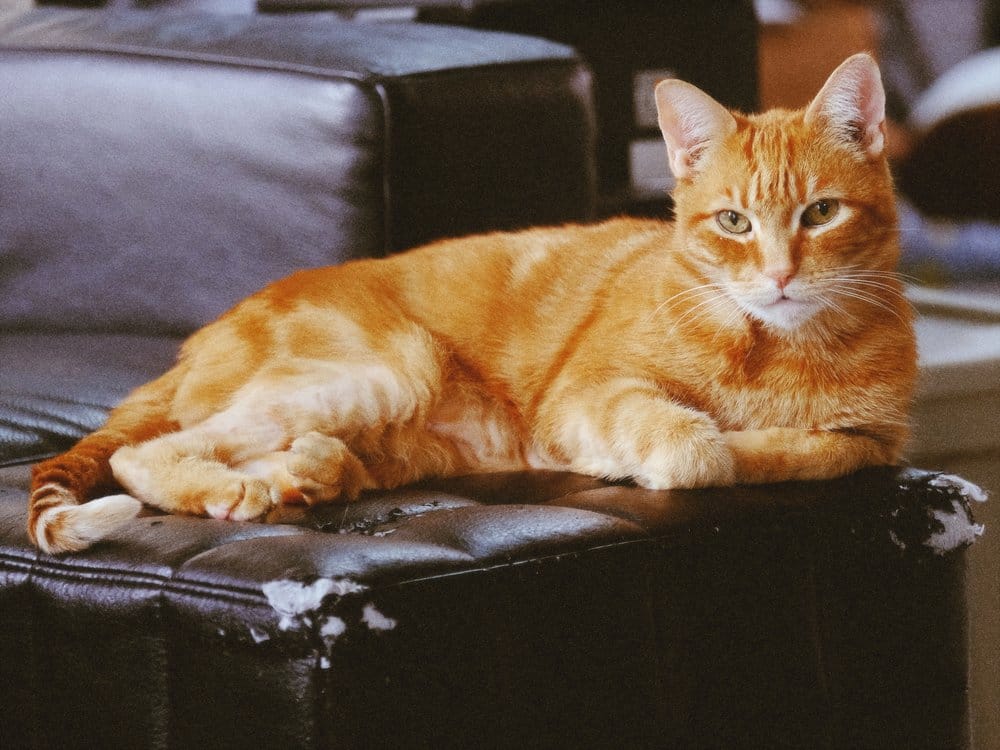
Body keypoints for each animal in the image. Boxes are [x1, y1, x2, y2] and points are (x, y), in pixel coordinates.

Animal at [27, 54, 916, 552]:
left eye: (820, 214)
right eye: (734, 222)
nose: (780, 276)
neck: (777, 349)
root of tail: (198, 338)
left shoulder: (875, 443)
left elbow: (808, 449)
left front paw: (749, 442)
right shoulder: (582, 397)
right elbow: (695, 447)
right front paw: (682, 449)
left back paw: (306, 473)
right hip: (391, 367)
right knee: (143, 455)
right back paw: (240, 488)